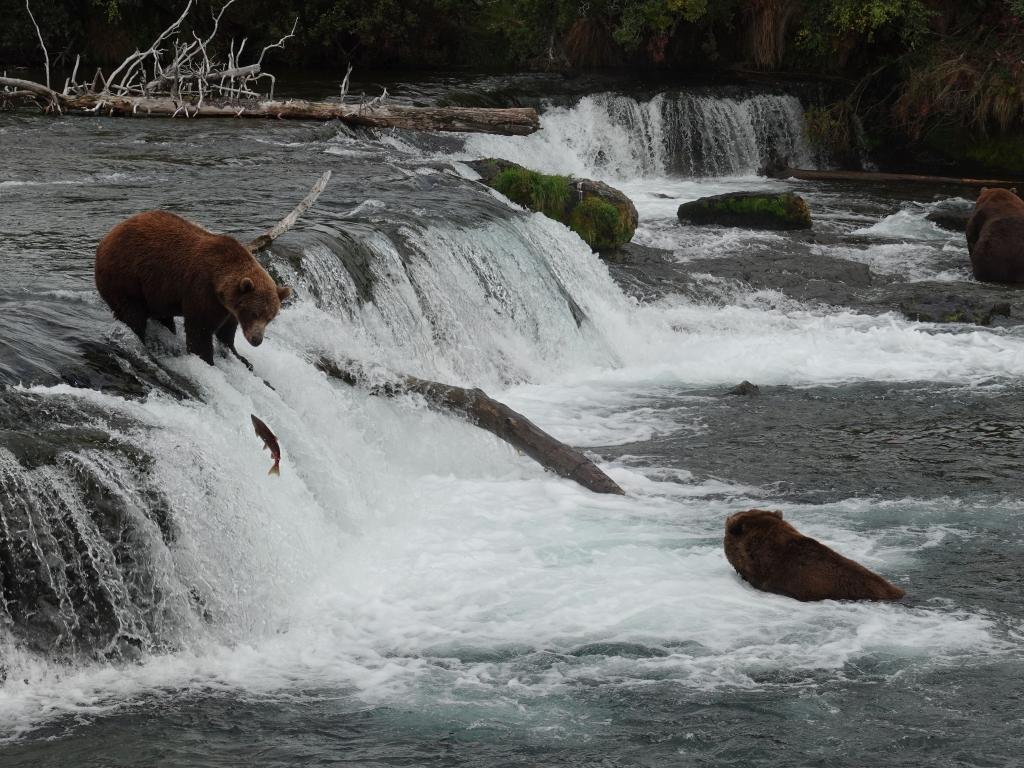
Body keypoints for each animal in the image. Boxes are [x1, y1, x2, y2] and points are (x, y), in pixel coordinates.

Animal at [95, 210, 290, 366]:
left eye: (270, 317)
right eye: (254, 313)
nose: (257, 340)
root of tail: (107, 237)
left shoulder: (228, 308)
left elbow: (227, 331)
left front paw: (240, 357)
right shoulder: (202, 291)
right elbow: (200, 330)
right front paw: (207, 360)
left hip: (155, 292)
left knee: (162, 317)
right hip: (126, 277)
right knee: (133, 314)